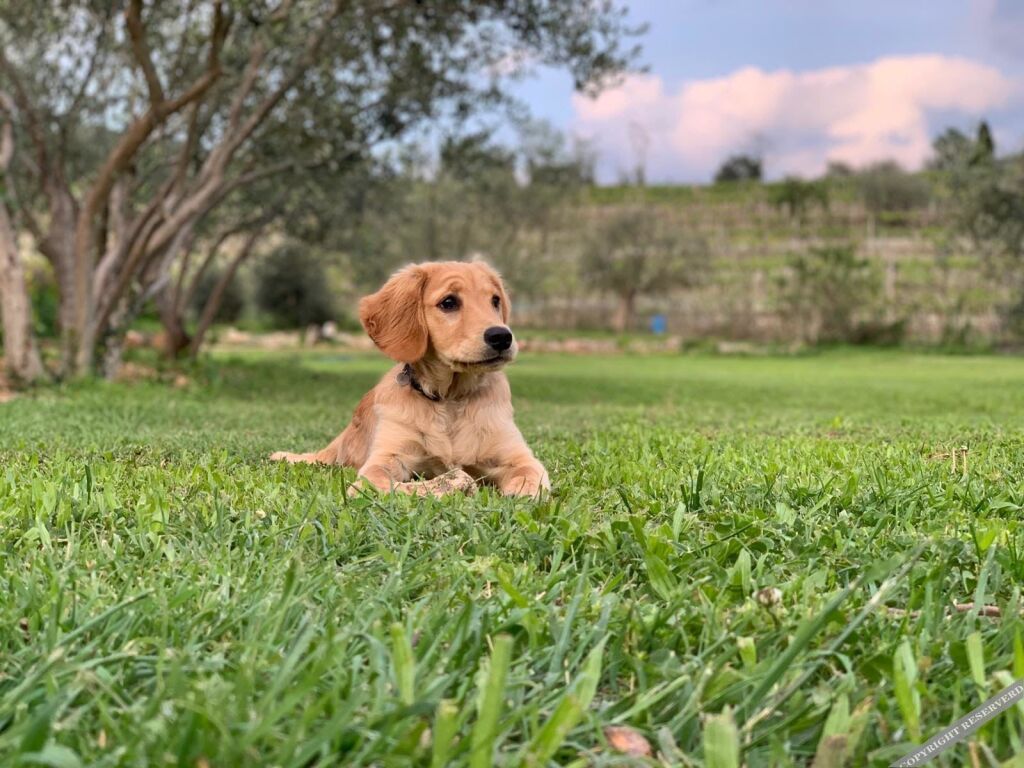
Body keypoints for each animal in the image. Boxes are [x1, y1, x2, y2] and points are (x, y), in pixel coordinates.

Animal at [270, 261, 550, 497]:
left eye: (495, 300)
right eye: (449, 302)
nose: (502, 337)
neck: (449, 399)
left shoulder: (517, 455)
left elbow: (530, 474)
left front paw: (522, 492)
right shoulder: (388, 456)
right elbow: (379, 483)